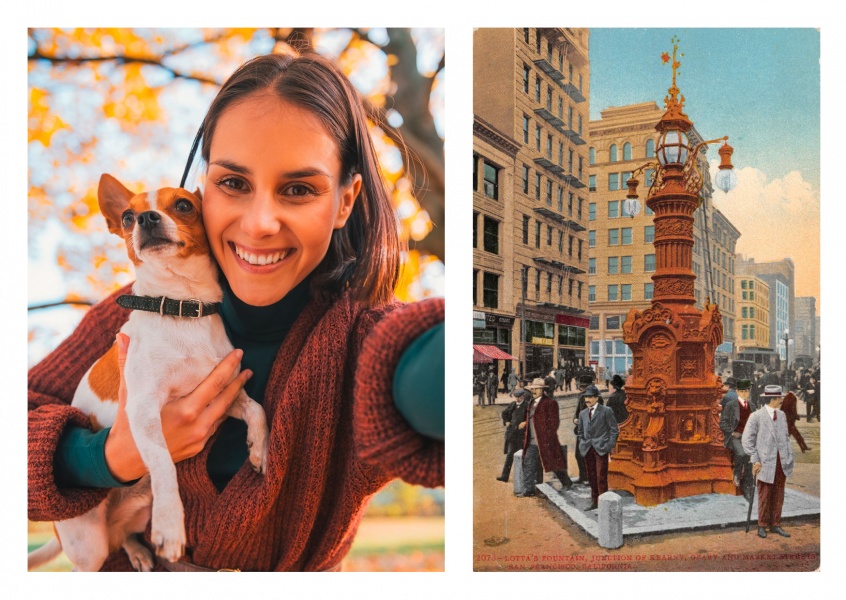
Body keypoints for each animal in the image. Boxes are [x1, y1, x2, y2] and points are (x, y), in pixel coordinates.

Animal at [29, 175, 268, 572]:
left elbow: (257, 409)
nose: (145, 219)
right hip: (89, 546)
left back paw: (139, 551)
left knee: (124, 534)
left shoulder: (225, 394)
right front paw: (171, 528)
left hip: (137, 510)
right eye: (127, 217)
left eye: (184, 205)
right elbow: (164, 466)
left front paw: (260, 449)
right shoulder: (144, 412)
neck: (181, 307)